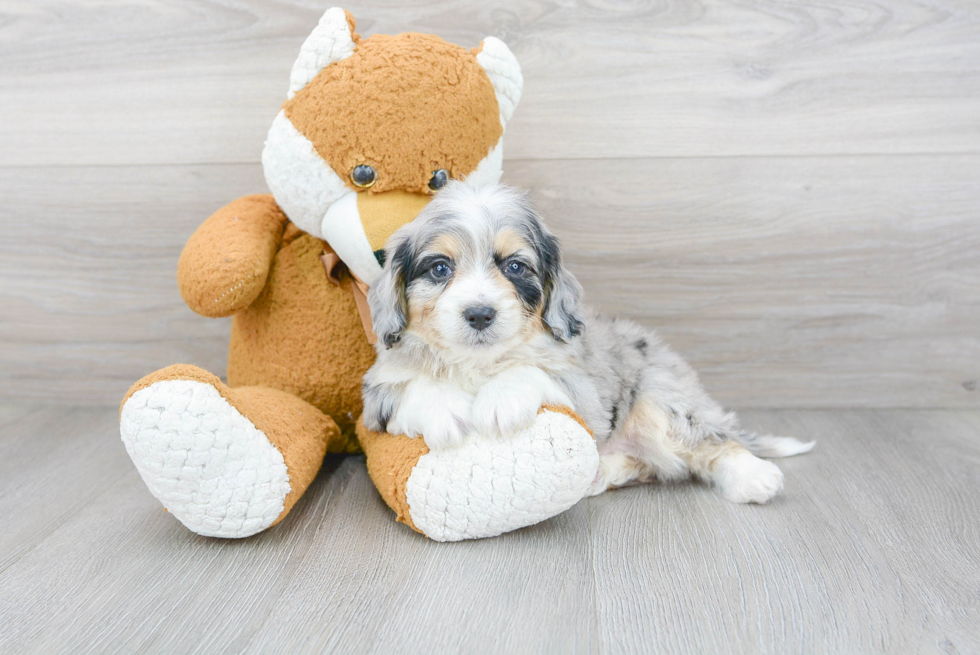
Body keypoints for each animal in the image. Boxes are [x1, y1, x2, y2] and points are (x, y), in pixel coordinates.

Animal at [362, 182, 812, 504]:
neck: (479, 363)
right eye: (440, 268)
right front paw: (445, 411)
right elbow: (414, 386)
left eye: (515, 267)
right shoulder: (375, 396)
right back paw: (602, 472)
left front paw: (500, 400)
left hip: (662, 401)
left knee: (710, 441)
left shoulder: (584, 391)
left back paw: (754, 476)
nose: (479, 314)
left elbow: (532, 369)